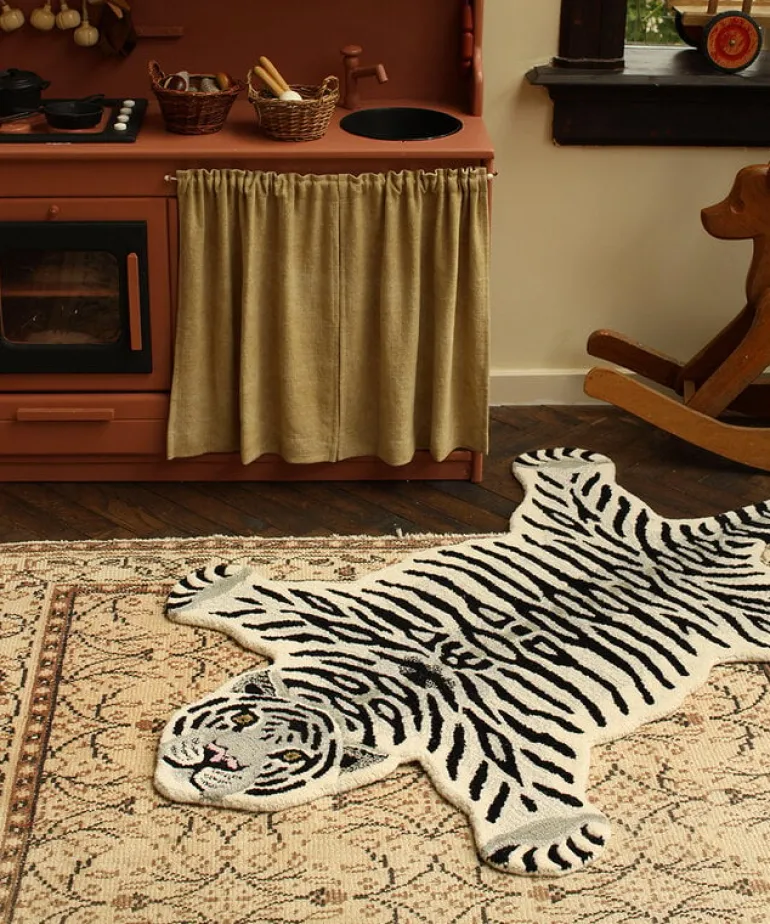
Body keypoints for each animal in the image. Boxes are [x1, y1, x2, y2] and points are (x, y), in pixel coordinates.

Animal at [155, 448, 770, 877]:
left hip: (746, 614)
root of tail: (691, 540)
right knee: (580, 491)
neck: (360, 691)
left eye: (286, 758)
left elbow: (519, 782)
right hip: (583, 525)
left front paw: (551, 835)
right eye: (241, 719)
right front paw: (213, 588)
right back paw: (562, 462)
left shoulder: (487, 731)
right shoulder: (329, 623)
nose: (215, 757)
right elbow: (265, 601)